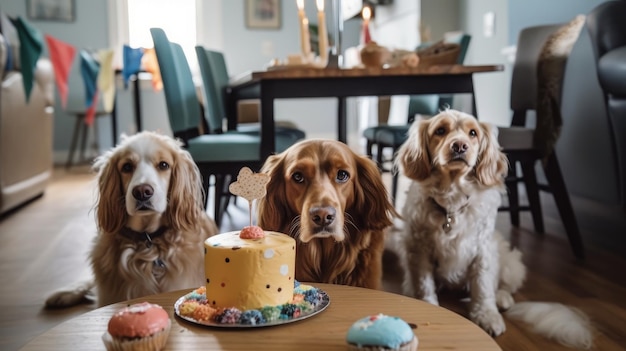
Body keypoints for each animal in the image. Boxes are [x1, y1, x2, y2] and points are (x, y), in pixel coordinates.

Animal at [394, 110, 588, 350]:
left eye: (473, 133)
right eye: (440, 130)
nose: (460, 145)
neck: (452, 203)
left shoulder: (482, 250)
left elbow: (483, 286)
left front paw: (487, 315)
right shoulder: (418, 249)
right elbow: (424, 285)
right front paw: (428, 305)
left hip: (509, 261)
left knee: (503, 285)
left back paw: (502, 299)